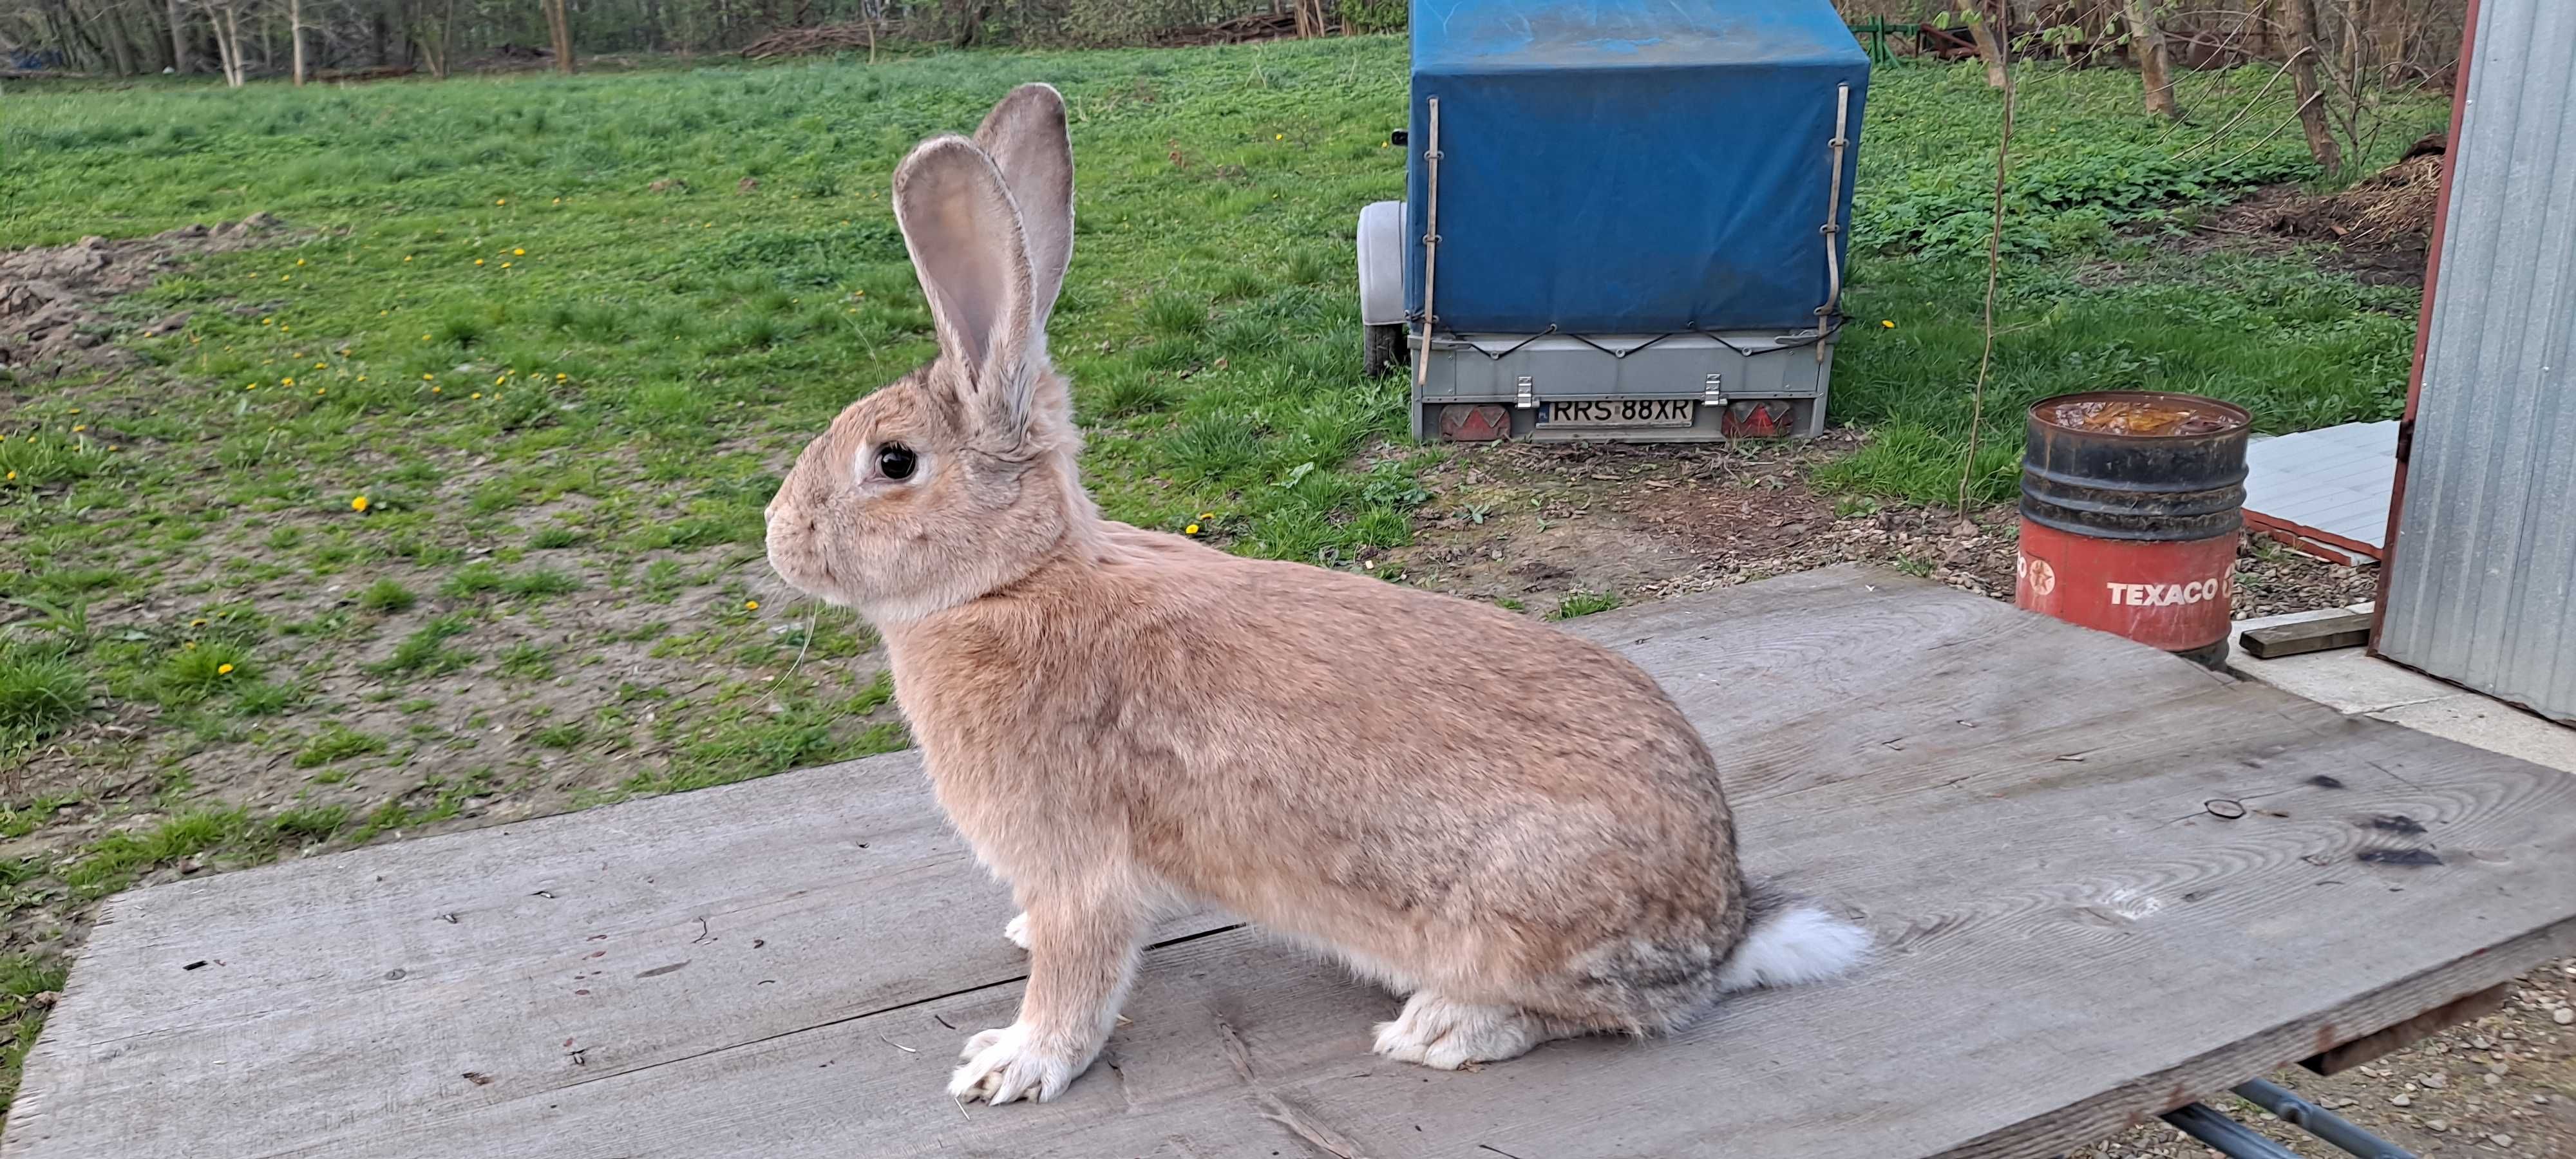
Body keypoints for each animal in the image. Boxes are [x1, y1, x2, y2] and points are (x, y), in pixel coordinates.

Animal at [762, 81, 1875, 1102]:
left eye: (893, 463)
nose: (779, 538)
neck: (1015, 577)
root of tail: (1722, 926)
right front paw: (1017, 948)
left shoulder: (1078, 857)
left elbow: (1077, 972)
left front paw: (1012, 1064)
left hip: (1522, 924)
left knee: (1604, 1011)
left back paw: (1442, 1029)